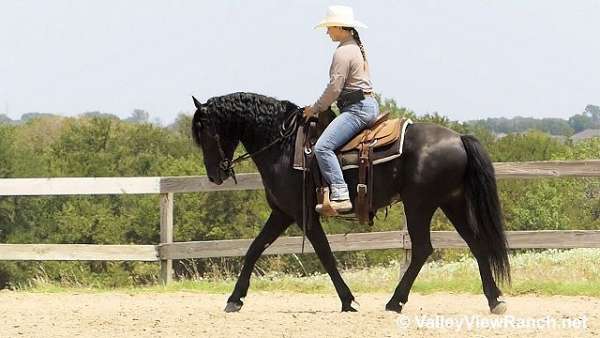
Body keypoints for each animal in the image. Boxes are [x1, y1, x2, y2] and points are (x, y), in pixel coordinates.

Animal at [192, 92, 510, 314]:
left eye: (205, 133)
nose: (215, 175)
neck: (283, 146)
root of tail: (458, 138)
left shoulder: (303, 214)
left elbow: (325, 255)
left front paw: (349, 301)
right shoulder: (282, 213)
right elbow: (254, 249)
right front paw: (235, 299)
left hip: (419, 205)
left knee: (422, 249)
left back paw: (395, 302)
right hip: (451, 203)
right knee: (476, 244)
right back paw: (495, 299)